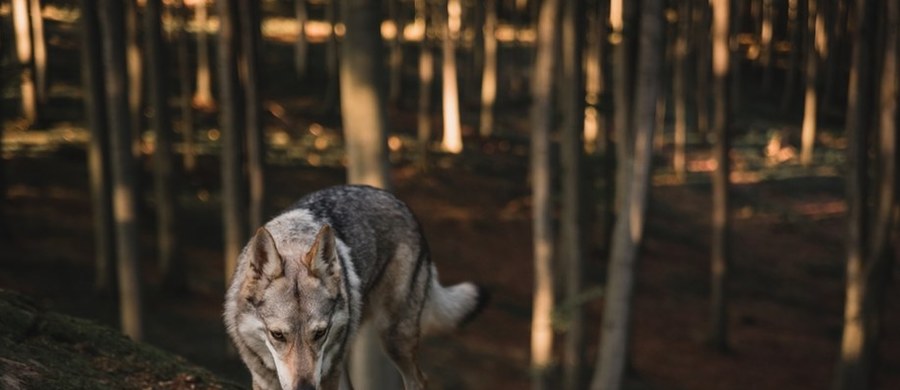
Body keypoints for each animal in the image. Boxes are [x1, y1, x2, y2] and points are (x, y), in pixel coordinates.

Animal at [224, 184, 486, 388]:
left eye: (319, 333)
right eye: (277, 335)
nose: (306, 388)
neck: (293, 241)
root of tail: (401, 202)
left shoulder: (328, 374)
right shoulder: (264, 380)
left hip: (392, 338)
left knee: (420, 380)